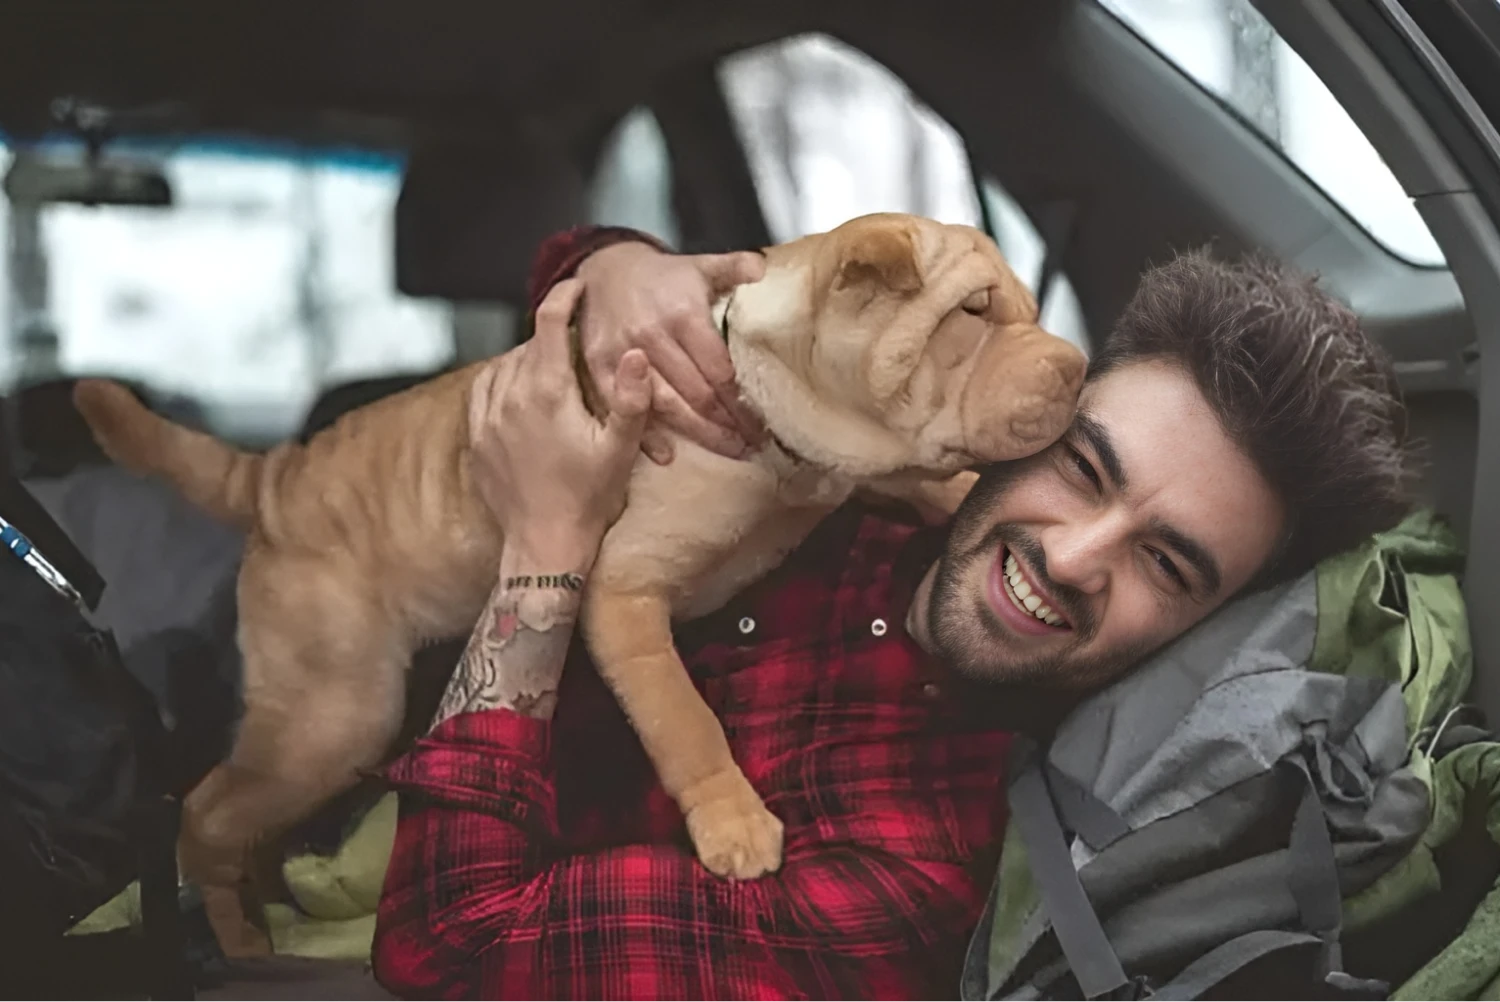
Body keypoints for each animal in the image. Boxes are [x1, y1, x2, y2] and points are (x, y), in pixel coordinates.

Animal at [73, 207, 1080, 918]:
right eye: (973, 315)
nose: (1074, 366)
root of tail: (278, 476)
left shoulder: (867, 473)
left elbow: (940, 490)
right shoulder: (624, 596)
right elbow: (684, 721)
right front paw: (734, 824)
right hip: (333, 718)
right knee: (206, 816)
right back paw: (233, 934)